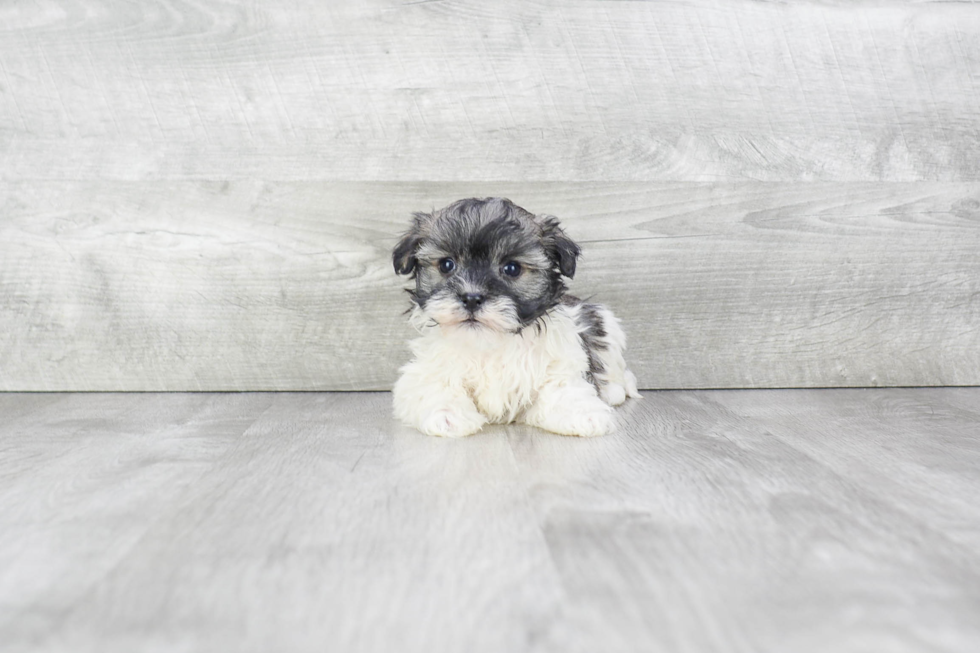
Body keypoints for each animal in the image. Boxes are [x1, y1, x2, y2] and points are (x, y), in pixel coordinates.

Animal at [394, 196, 640, 436]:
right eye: (447, 264)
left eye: (512, 268)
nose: (471, 298)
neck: (489, 344)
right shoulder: (429, 369)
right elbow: (431, 387)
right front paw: (446, 415)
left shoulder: (560, 365)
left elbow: (563, 388)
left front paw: (584, 414)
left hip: (604, 324)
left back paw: (614, 390)